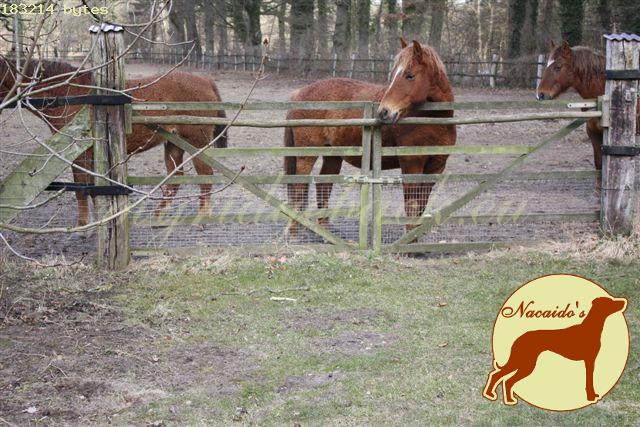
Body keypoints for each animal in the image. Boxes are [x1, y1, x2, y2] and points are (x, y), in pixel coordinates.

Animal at [0, 57, 227, 226]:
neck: (71, 93)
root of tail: (207, 82)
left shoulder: (79, 154)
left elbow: (82, 188)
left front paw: (84, 225)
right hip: (174, 144)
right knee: (175, 181)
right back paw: (158, 217)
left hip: (196, 144)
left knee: (205, 177)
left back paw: (201, 217)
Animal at [284, 38, 456, 237]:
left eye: (410, 76)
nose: (383, 112)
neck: (434, 121)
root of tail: (298, 93)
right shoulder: (411, 164)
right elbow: (412, 205)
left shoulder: (436, 167)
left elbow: (421, 204)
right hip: (306, 155)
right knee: (298, 187)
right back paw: (294, 232)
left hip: (333, 155)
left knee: (323, 184)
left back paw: (326, 231)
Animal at [483, 296, 626, 405]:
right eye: (610, 302)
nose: (624, 302)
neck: (591, 328)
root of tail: (519, 338)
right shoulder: (589, 360)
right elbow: (589, 381)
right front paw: (591, 397)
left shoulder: (590, 361)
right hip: (524, 363)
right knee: (501, 377)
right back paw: (496, 396)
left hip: (524, 362)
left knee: (503, 378)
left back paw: (502, 397)